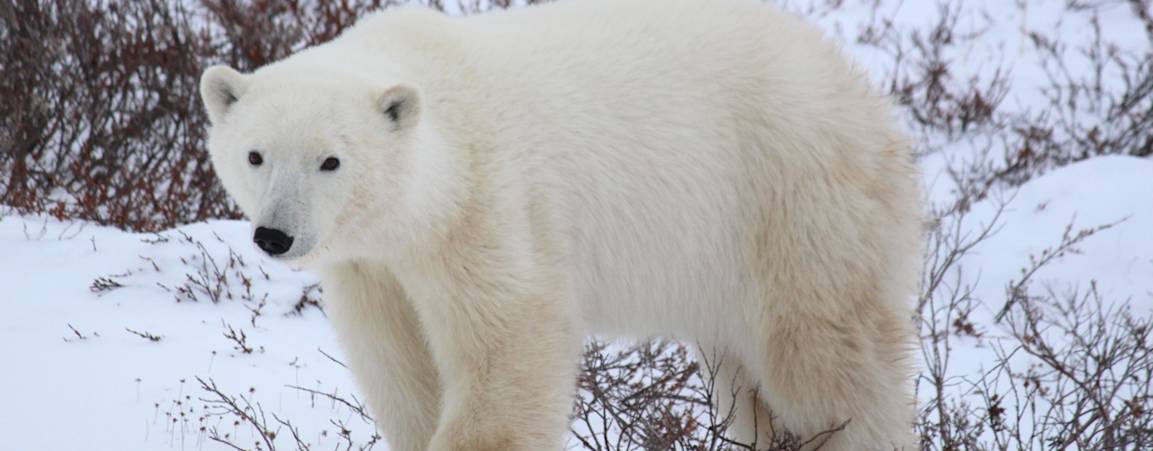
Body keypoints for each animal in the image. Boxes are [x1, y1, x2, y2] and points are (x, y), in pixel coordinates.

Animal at [196, 0, 917, 447]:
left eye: (331, 160)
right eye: (255, 154)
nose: (275, 235)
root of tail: (861, 92)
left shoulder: (488, 206)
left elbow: (509, 340)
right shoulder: (373, 267)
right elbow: (398, 365)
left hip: (791, 203)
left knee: (825, 361)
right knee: (748, 386)